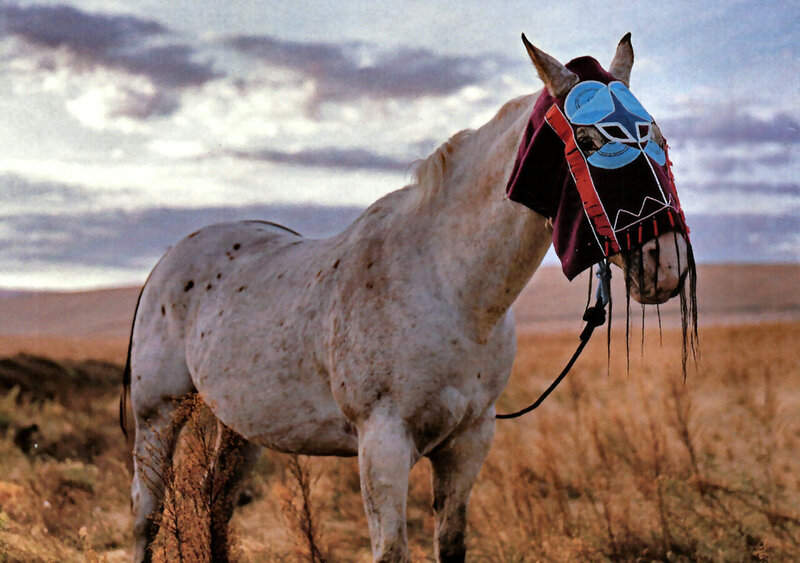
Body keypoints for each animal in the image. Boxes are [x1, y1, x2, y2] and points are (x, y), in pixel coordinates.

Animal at [124, 35, 694, 562]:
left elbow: (452, 543)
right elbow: (392, 550)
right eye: (596, 140)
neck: (448, 286)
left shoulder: (469, 442)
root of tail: (167, 261)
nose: (666, 264)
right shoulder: (383, 443)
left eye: (661, 138)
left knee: (216, 503)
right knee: (146, 516)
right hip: (158, 417)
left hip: (238, 426)